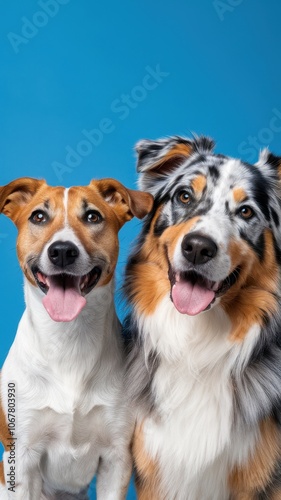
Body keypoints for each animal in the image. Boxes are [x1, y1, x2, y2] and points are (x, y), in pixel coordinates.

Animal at [0, 178, 152, 500]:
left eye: (93, 216)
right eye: (38, 217)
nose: (62, 251)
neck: (68, 338)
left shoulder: (116, 457)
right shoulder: (23, 457)